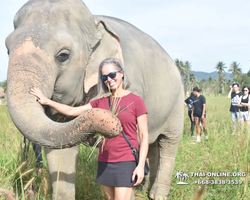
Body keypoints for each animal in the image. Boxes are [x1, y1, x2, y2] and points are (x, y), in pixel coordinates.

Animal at [5, 0, 184, 200]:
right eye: (7, 49)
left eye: (63, 55)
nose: (112, 122)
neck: (95, 23)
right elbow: (59, 149)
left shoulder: (134, 85)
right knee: (152, 145)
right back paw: (143, 189)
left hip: (177, 104)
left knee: (168, 144)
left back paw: (157, 194)